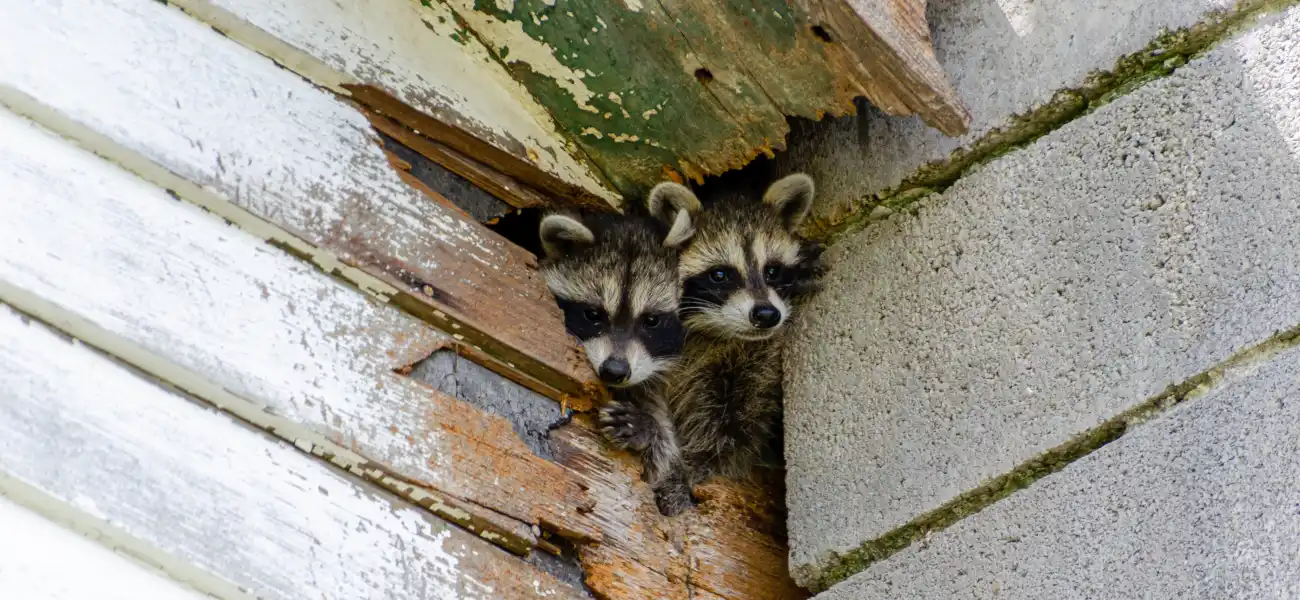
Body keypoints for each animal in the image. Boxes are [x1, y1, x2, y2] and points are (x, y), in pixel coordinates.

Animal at [610, 173, 825, 516]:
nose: (767, 315)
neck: (716, 331)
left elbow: (734, 440)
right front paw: (657, 440)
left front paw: (687, 472)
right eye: (721, 274)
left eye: (773, 270)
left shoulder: (754, 362)